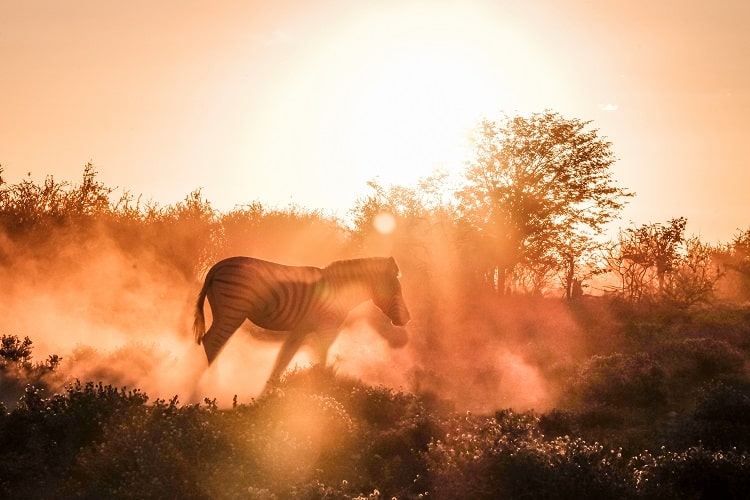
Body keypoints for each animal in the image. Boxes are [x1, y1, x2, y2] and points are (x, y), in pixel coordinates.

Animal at [191, 256, 408, 384]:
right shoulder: (327, 328)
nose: (407, 319)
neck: (341, 289)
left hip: (225, 311)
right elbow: (321, 360)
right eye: (396, 290)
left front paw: (267, 396)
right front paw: (320, 390)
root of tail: (217, 267)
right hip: (234, 310)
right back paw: (211, 385)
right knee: (213, 342)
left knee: (210, 341)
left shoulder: (300, 329)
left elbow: (282, 361)